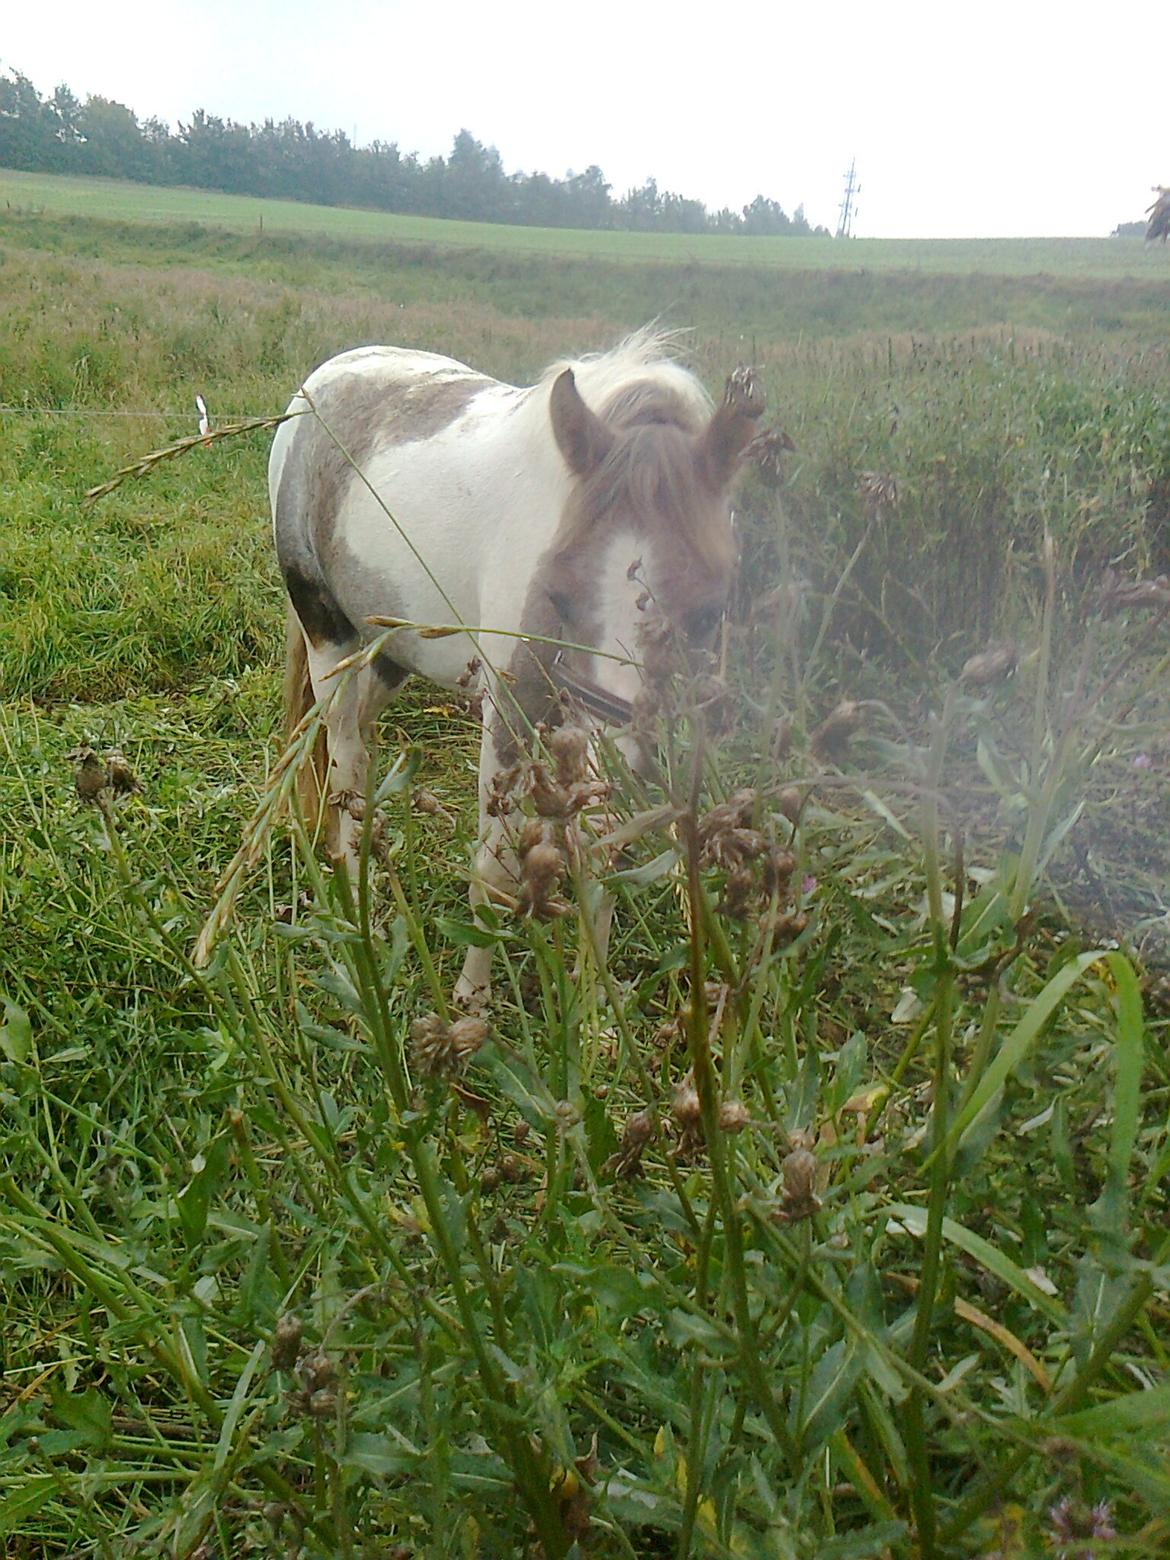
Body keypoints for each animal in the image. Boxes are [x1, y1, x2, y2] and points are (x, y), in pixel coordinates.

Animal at [274, 333, 770, 1004]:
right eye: (557, 593)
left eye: (708, 611)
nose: (617, 773)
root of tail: (328, 376)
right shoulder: (511, 717)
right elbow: (498, 866)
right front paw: (472, 1000)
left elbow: (604, 861)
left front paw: (594, 1005)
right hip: (328, 635)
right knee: (346, 755)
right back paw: (357, 899)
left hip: (389, 651)